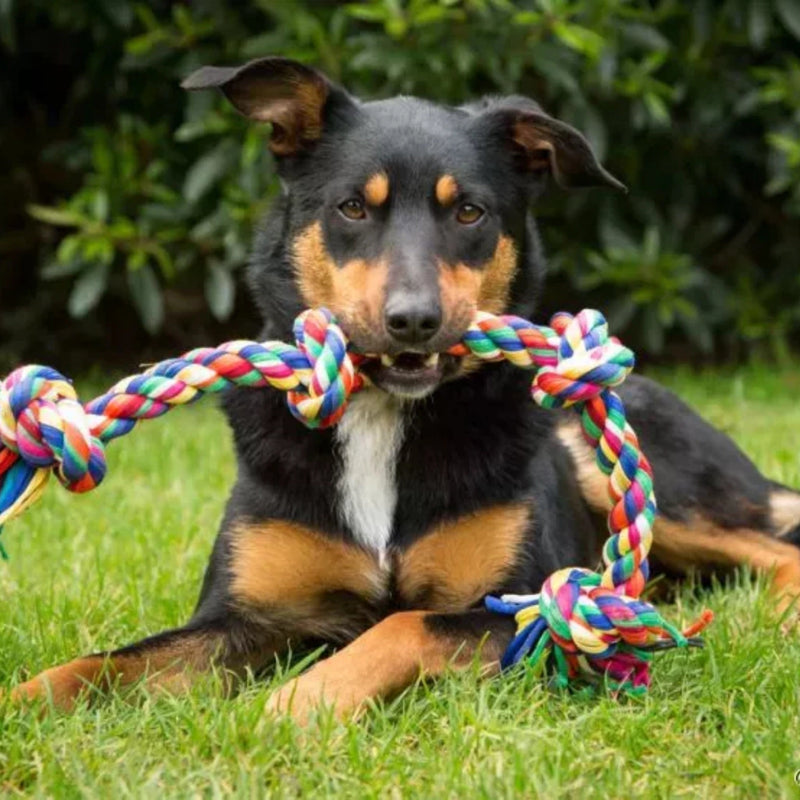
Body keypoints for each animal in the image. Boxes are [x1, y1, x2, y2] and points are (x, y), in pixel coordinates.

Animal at [10, 56, 800, 720]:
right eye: (353, 208)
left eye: (469, 212)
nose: (413, 320)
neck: (381, 412)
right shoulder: (244, 616)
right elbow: (106, 664)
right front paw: (23, 700)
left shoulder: (521, 610)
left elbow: (400, 625)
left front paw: (296, 705)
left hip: (660, 491)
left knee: (772, 548)